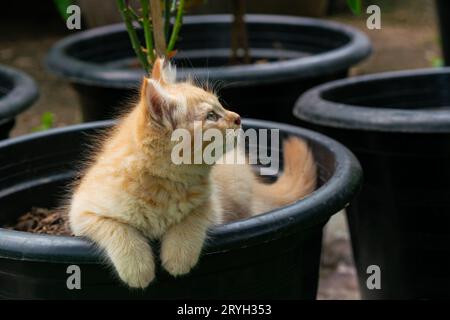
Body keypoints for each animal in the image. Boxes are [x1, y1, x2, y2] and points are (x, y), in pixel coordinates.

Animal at [68, 58, 318, 290]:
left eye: (221, 105)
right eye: (211, 116)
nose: (238, 117)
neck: (163, 186)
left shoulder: (212, 206)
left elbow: (192, 219)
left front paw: (178, 256)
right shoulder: (82, 212)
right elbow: (117, 229)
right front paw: (137, 267)